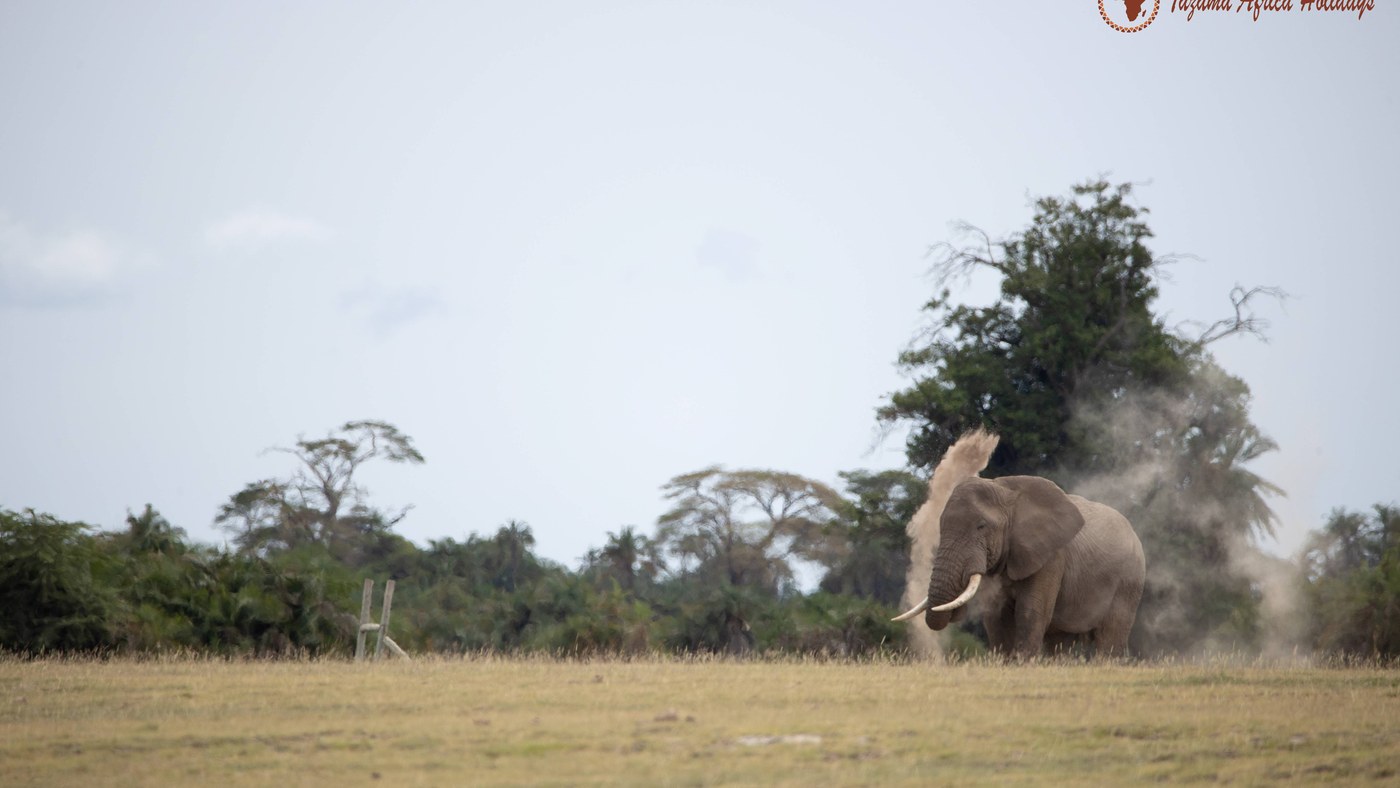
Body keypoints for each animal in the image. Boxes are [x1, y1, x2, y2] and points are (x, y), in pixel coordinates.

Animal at [893, 475, 1145, 659]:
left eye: (981, 526)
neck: (1007, 492)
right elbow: (996, 615)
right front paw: (1004, 663)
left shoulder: (1052, 556)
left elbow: (1030, 610)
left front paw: (1023, 663)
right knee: (1061, 640)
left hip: (1129, 581)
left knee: (1110, 635)